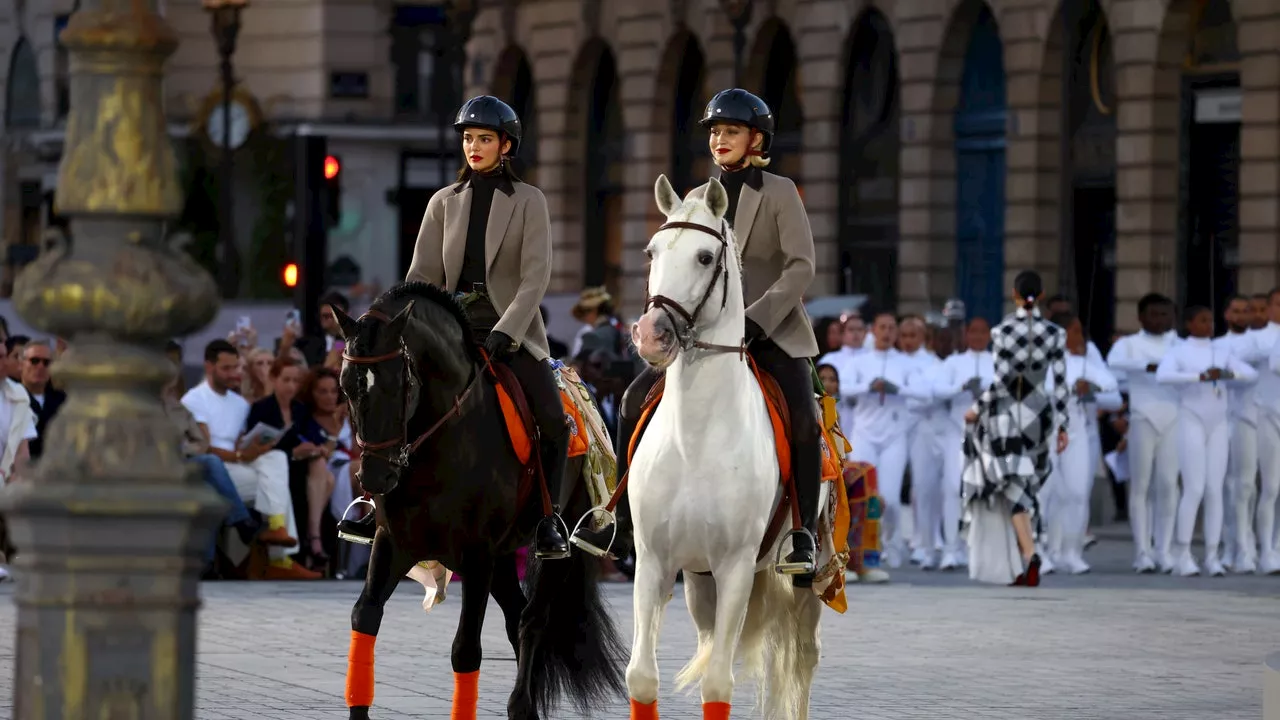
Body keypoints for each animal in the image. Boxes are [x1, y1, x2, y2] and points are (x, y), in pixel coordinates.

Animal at [332, 280, 627, 717]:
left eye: (398, 383)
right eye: (347, 386)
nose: (375, 477)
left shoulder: (475, 554)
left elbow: (466, 650)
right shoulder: (393, 542)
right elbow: (364, 617)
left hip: (555, 545)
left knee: (532, 619)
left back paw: (521, 704)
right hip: (502, 558)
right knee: (516, 615)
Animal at [624, 175, 824, 717]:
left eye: (705, 257)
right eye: (651, 252)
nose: (651, 335)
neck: (695, 440)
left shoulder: (735, 566)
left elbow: (718, 684)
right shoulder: (654, 562)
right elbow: (641, 678)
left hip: (803, 576)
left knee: (798, 660)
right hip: (700, 582)